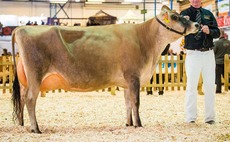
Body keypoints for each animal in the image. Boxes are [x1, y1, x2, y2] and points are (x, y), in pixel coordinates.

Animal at [10, 5, 198, 133]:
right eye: (175, 16)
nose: (196, 24)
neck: (146, 40)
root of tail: (21, 28)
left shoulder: (127, 82)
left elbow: (128, 102)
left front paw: (129, 124)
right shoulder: (133, 76)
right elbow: (136, 102)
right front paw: (139, 125)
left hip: (26, 79)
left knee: (22, 98)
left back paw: (24, 125)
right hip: (36, 75)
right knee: (30, 100)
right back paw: (36, 129)